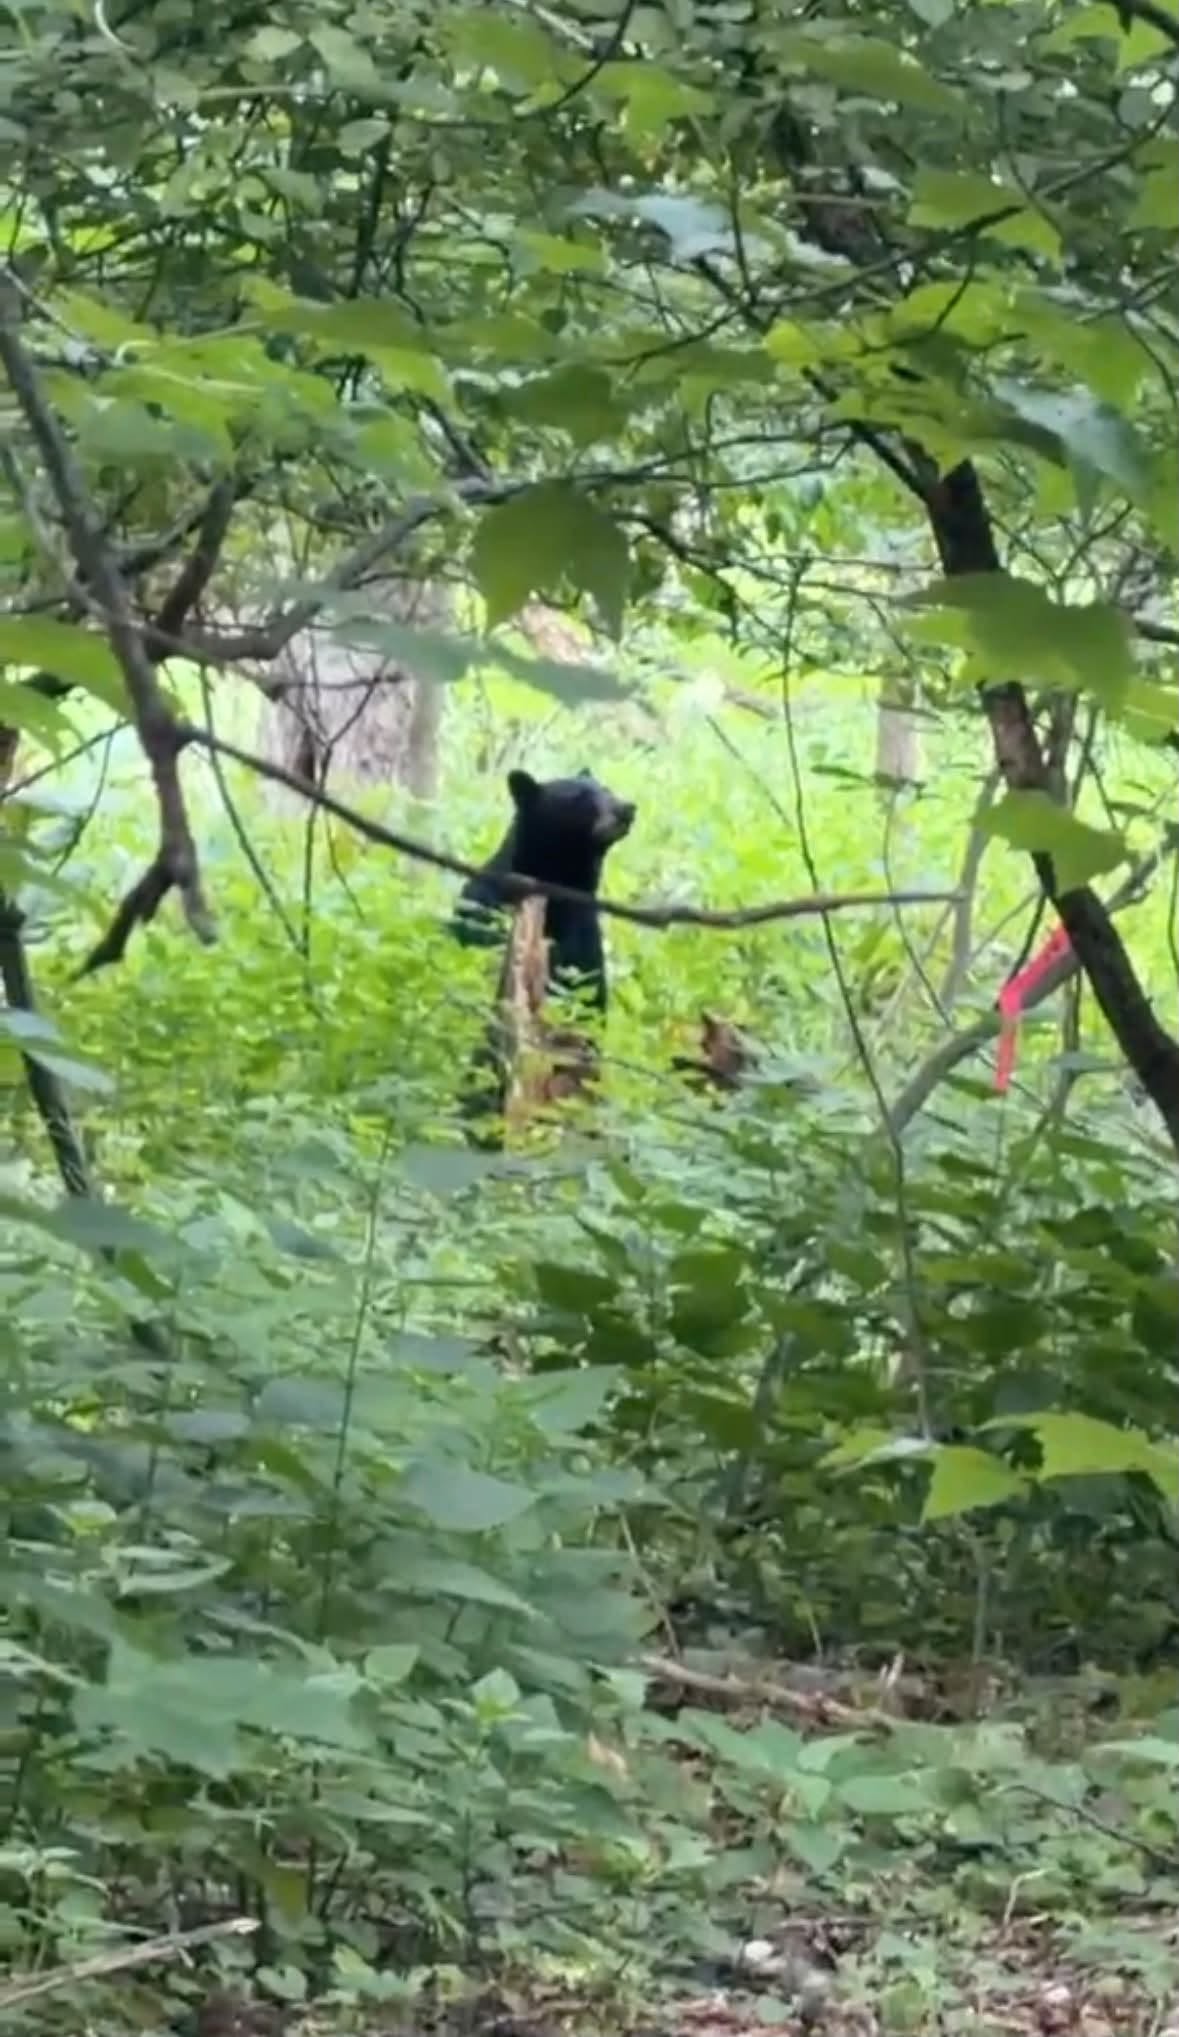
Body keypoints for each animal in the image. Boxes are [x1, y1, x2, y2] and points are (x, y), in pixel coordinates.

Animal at [451, 767, 636, 1013]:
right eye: (580, 797)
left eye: (607, 789)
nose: (627, 808)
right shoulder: (485, 907)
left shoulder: (583, 928)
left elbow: (587, 988)